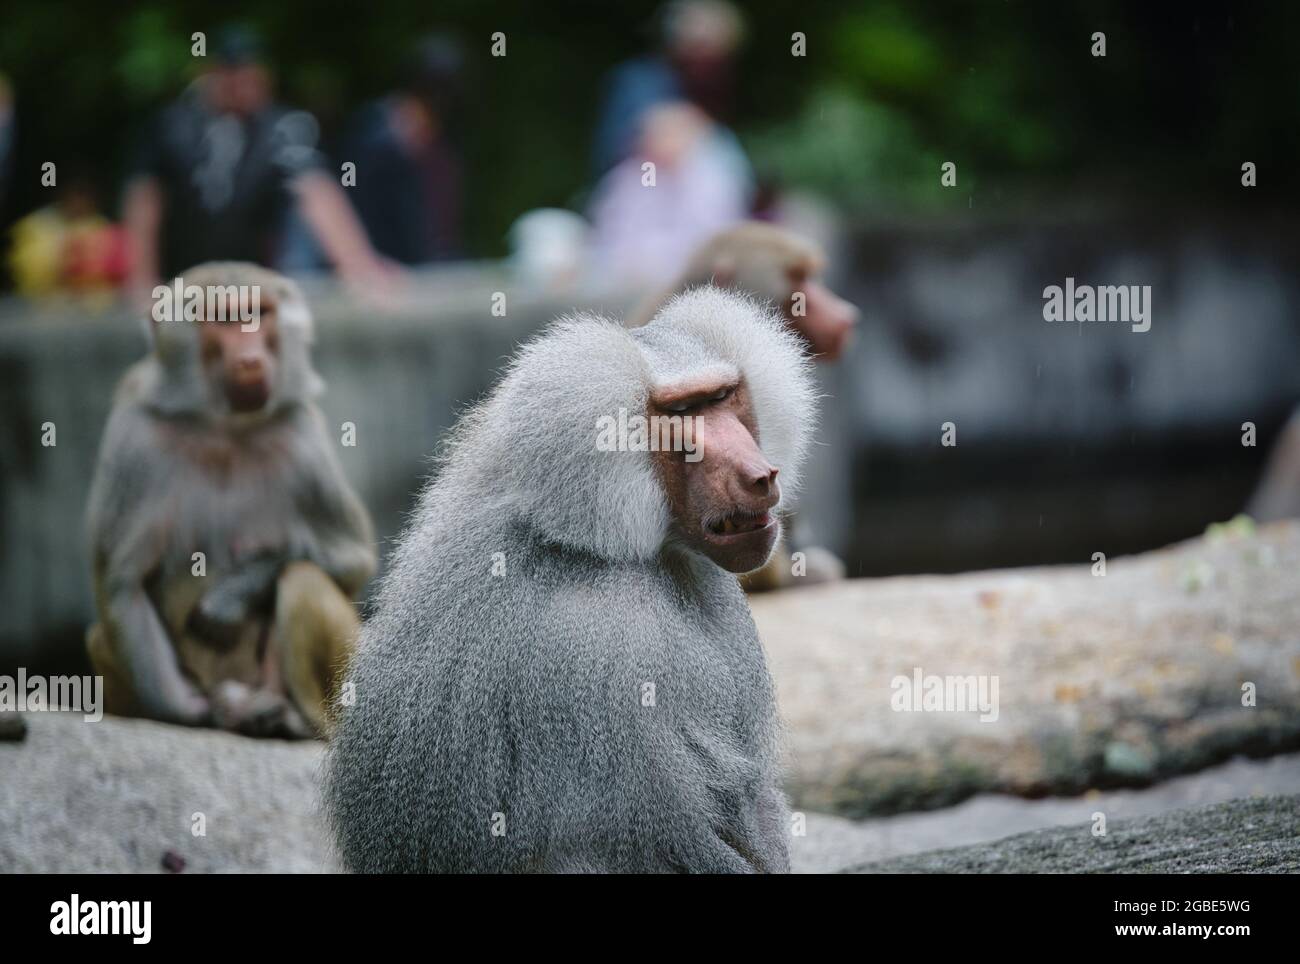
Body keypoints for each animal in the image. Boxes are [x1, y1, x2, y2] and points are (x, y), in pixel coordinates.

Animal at [85, 262, 376, 739]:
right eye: (223, 319)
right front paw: (188, 712)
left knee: (302, 579)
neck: (225, 426)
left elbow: (352, 560)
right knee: (99, 636)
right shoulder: (133, 436)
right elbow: (122, 584)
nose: (251, 360)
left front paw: (231, 596)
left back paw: (293, 722)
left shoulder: (303, 437)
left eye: (259, 312)